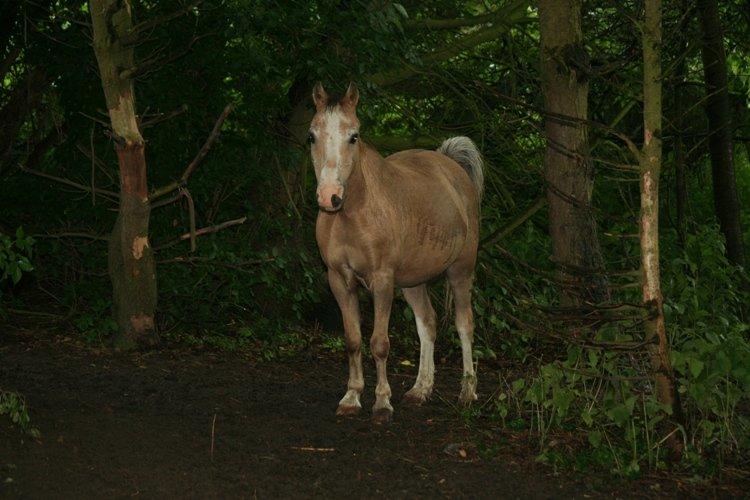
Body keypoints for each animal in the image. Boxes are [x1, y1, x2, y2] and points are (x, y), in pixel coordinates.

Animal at [308, 81, 484, 422]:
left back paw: (468, 393)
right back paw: (420, 390)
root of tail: (451, 167)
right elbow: (353, 340)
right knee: (427, 324)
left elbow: (379, 343)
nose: (329, 196)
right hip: (413, 282)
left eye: (354, 136)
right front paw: (351, 397)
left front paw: (382, 403)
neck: (353, 214)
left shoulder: (382, 282)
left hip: (460, 272)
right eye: (312, 136)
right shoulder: (339, 280)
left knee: (464, 325)